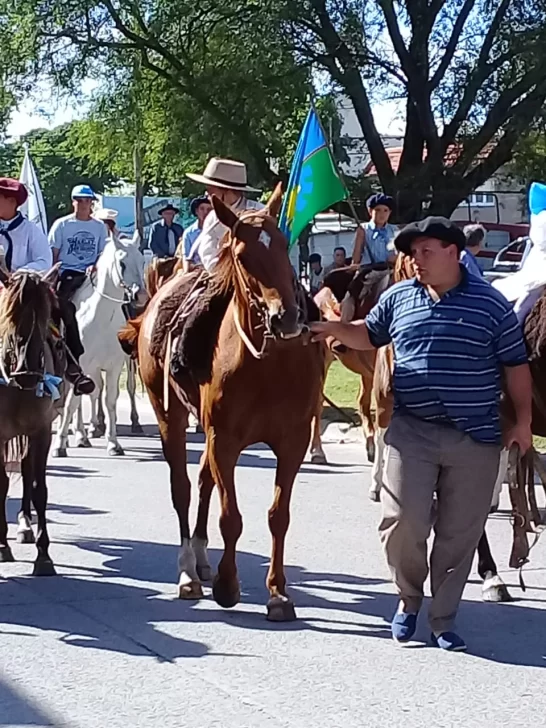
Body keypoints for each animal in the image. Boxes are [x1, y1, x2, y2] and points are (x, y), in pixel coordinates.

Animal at [52, 236, 147, 458]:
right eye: (122, 263)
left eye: (142, 262)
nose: (140, 295)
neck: (101, 317)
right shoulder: (81, 365)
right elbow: (72, 403)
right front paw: (60, 443)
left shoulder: (114, 366)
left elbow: (109, 399)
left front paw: (113, 443)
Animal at [119, 188, 324, 620]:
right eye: (243, 255)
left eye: (282, 245)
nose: (286, 318)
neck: (267, 366)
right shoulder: (224, 439)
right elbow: (231, 518)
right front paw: (228, 586)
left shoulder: (293, 442)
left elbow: (278, 516)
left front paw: (278, 592)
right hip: (170, 416)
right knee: (181, 487)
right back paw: (188, 573)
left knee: (202, 481)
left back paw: (200, 558)